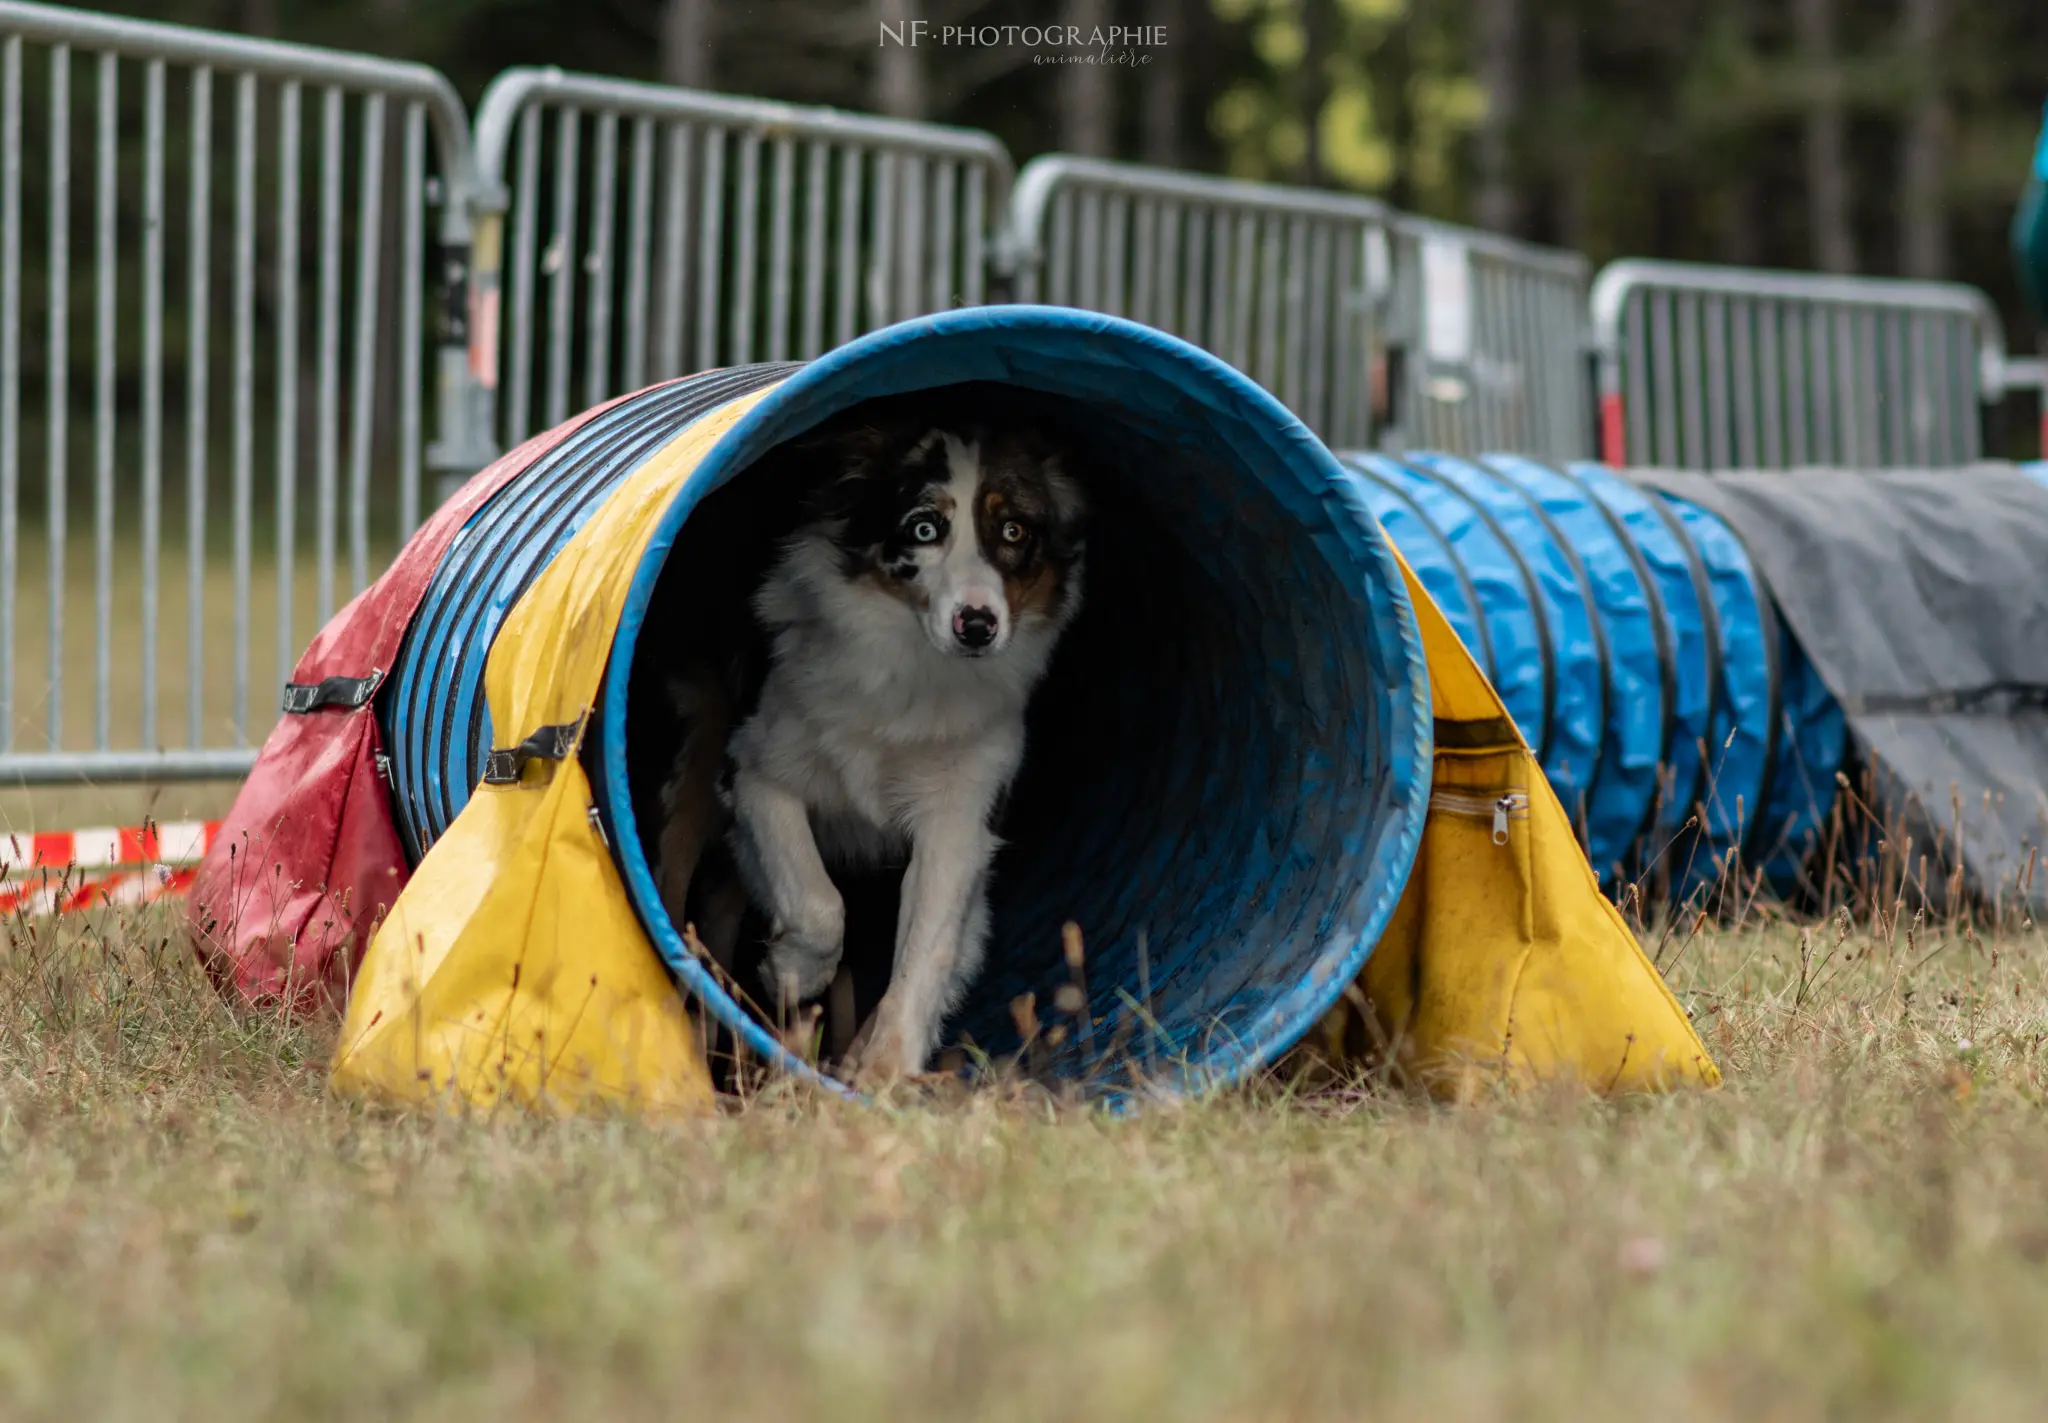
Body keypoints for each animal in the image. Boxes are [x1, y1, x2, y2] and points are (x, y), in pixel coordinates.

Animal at [659, 403, 1089, 1089]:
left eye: (1014, 530)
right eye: (923, 528)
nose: (976, 626)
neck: (913, 666)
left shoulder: (959, 815)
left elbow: (927, 951)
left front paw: (882, 1072)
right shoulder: (758, 775)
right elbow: (817, 901)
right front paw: (791, 972)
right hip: (694, 759)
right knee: (680, 895)